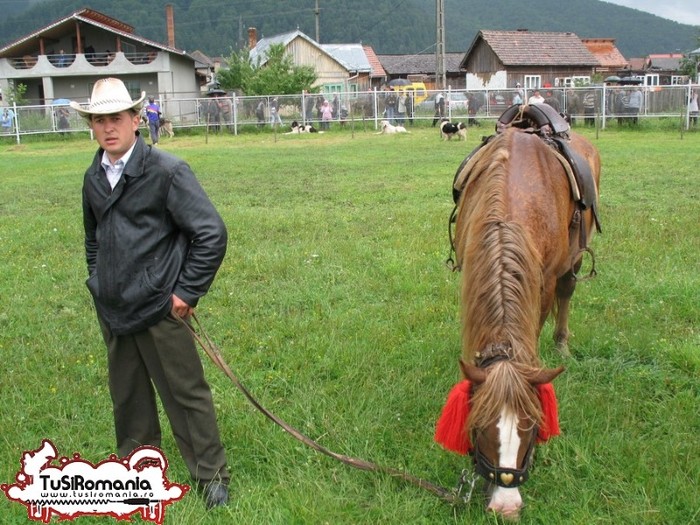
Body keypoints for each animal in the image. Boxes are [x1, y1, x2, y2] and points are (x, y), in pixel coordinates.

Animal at [448, 122, 600, 516]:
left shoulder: (542, 282)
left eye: (533, 430)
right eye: (479, 426)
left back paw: (561, 343)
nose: (507, 506)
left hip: (575, 259)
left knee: (567, 291)